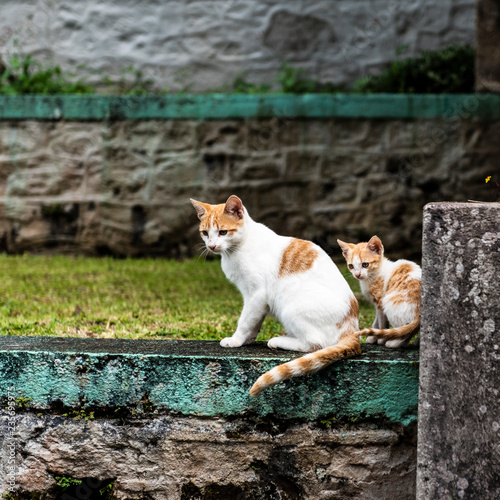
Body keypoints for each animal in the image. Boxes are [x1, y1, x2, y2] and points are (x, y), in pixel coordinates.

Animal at [189, 195, 362, 394]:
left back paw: (279, 341)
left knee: (315, 344)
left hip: (290, 306)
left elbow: (245, 319)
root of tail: (352, 329)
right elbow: (254, 321)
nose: (211, 245)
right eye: (205, 233)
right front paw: (248, 339)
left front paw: (236, 340)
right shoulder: (254, 298)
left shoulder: (257, 294)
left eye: (223, 232)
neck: (236, 250)